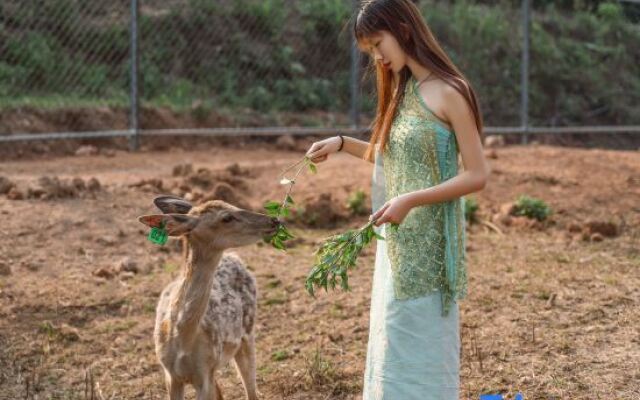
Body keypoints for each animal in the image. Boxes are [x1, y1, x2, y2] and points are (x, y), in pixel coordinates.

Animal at [139, 195, 278, 398]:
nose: (275, 220)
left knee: (251, 391)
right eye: (226, 217)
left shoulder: (205, 373)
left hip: (247, 332)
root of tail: (234, 257)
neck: (183, 339)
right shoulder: (171, 375)